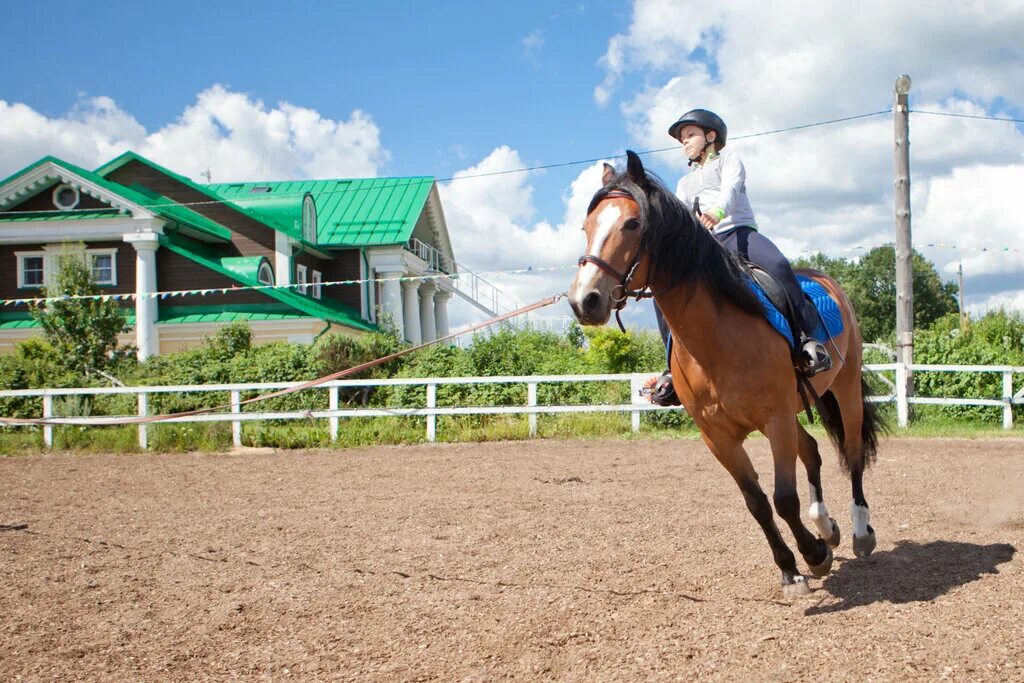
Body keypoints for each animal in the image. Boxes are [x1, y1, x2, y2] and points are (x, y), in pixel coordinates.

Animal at [573, 150, 884, 598]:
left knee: (855, 454)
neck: (715, 339)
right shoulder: (718, 437)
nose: (585, 301)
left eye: (632, 224)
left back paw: (859, 532)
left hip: (843, 391)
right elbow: (757, 502)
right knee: (812, 451)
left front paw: (814, 557)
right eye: (587, 227)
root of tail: (827, 280)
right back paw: (827, 525)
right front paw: (793, 568)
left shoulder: (775, 421)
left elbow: (783, 498)